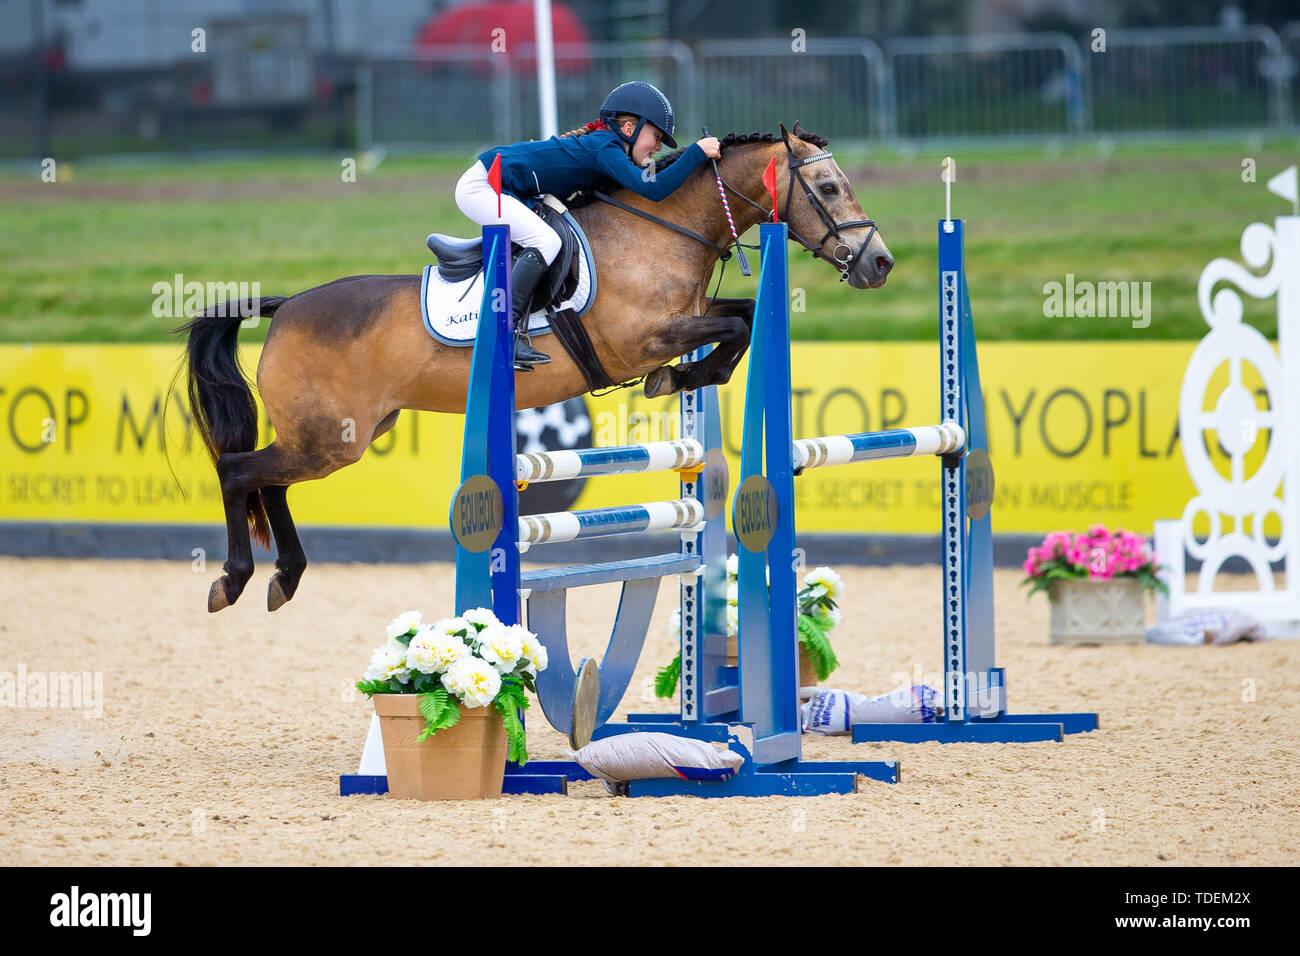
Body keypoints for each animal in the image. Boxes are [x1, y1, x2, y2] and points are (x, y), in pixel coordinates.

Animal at [180, 121, 894, 613]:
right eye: (828, 187)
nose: (880, 263)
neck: (660, 230)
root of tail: (285, 306)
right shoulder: (641, 337)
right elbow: (736, 326)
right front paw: (678, 377)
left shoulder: (685, 317)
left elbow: (740, 317)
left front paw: (689, 377)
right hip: (332, 437)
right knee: (240, 470)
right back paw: (234, 579)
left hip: (340, 435)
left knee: (271, 480)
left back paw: (285, 576)